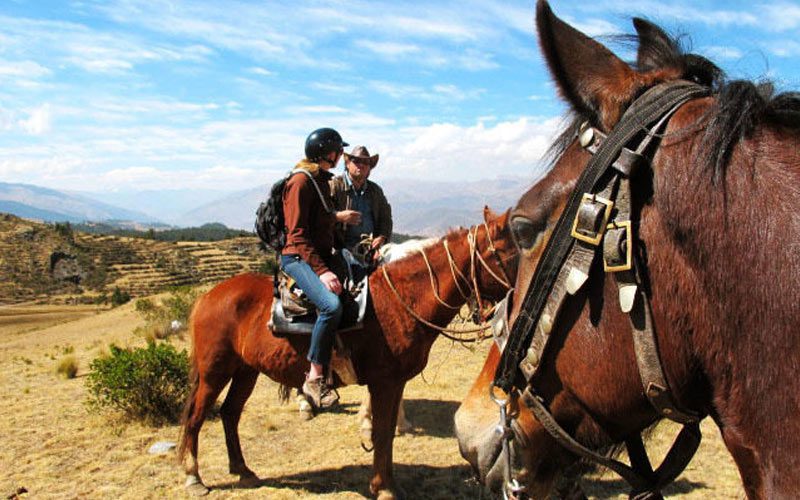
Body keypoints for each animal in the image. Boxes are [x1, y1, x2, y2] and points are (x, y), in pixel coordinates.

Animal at [177, 205, 516, 498]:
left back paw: (242, 470)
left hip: (245, 371)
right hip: (214, 372)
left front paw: (387, 483)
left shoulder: (394, 384)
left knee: (230, 413)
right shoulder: (384, 383)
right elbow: (380, 433)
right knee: (195, 417)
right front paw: (384, 488)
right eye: (508, 254)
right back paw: (194, 478)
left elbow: (387, 431)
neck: (399, 299)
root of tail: (206, 297)